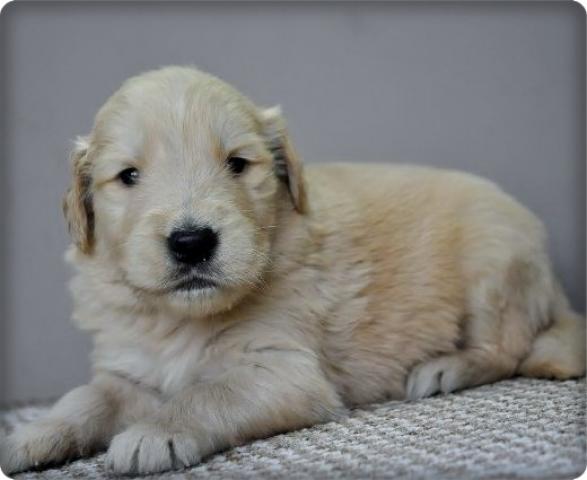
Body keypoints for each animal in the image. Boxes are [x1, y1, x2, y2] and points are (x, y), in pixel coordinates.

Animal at [1, 66, 584, 476]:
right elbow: (87, 397)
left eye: (237, 164)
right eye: (128, 176)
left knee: (508, 348)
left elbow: (207, 393)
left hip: (496, 263)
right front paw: (35, 434)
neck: (182, 319)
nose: (192, 242)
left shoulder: (284, 371)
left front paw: (156, 431)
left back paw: (447, 369)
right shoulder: (129, 367)